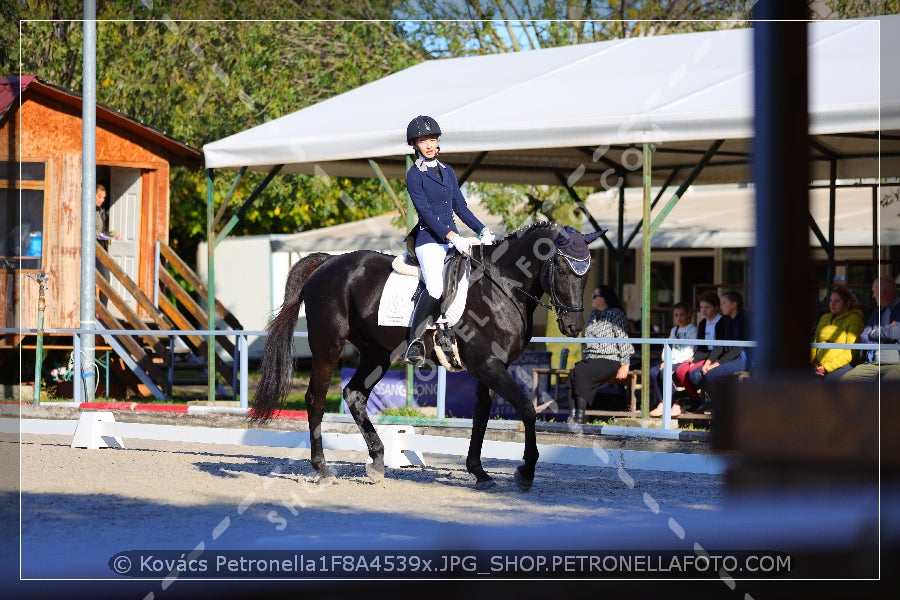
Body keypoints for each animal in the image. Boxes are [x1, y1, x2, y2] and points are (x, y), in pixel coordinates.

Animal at [251, 223, 604, 490]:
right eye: (561, 268)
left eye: (587, 273)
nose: (573, 326)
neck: (502, 286)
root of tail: (326, 263)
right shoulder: (489, 366)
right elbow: (528, 411)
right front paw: (526, 473)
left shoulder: (491, 367)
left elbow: (480, 417)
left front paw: (479, 472)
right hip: (328, 345)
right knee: (316, 399)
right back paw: (323, 469)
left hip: (377, 353)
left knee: (354, 394)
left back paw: (377, 461)